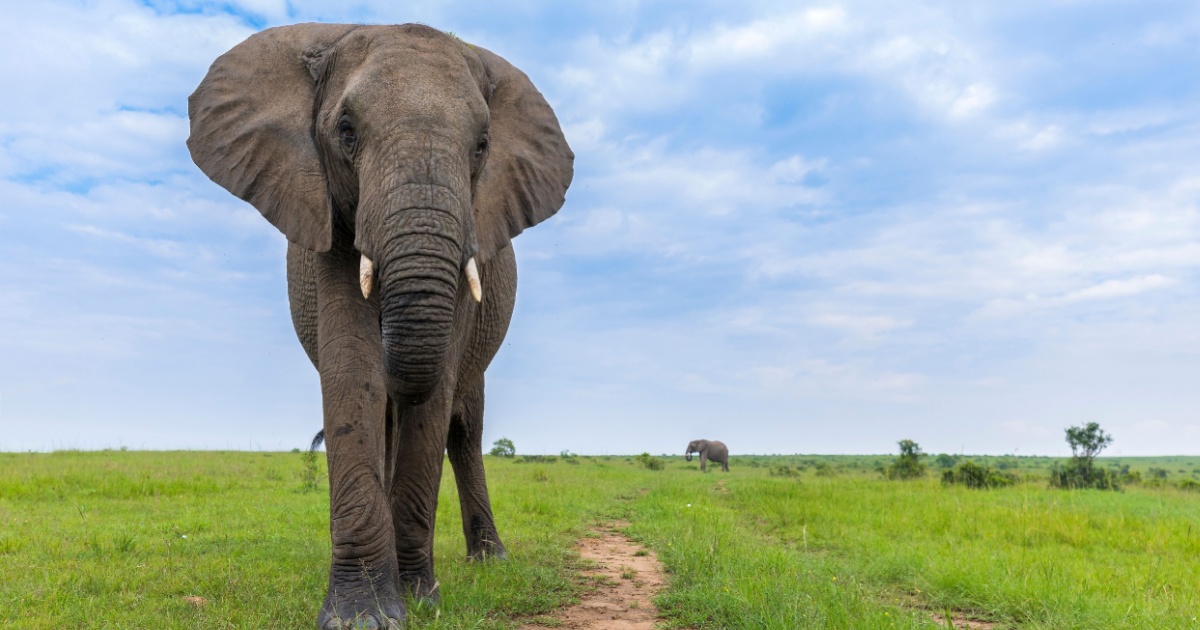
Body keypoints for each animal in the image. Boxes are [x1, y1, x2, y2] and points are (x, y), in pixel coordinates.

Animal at [187, 23, 573, 629]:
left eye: (482, 145)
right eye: (346, 131)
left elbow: (434, 397)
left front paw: (420, 600)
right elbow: (354, 368)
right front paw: (361, 616)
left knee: (464, 427)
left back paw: (489, 561)